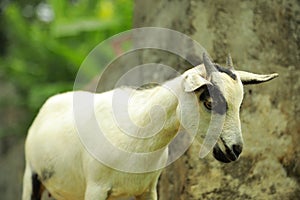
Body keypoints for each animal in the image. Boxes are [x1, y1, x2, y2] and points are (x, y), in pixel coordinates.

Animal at [22, 53, 278, 200]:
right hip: (32, 177)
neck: (137, 134)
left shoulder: (147, 189)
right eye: (208, 102)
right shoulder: (96, 187)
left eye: (240, 104)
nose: (235, 149)